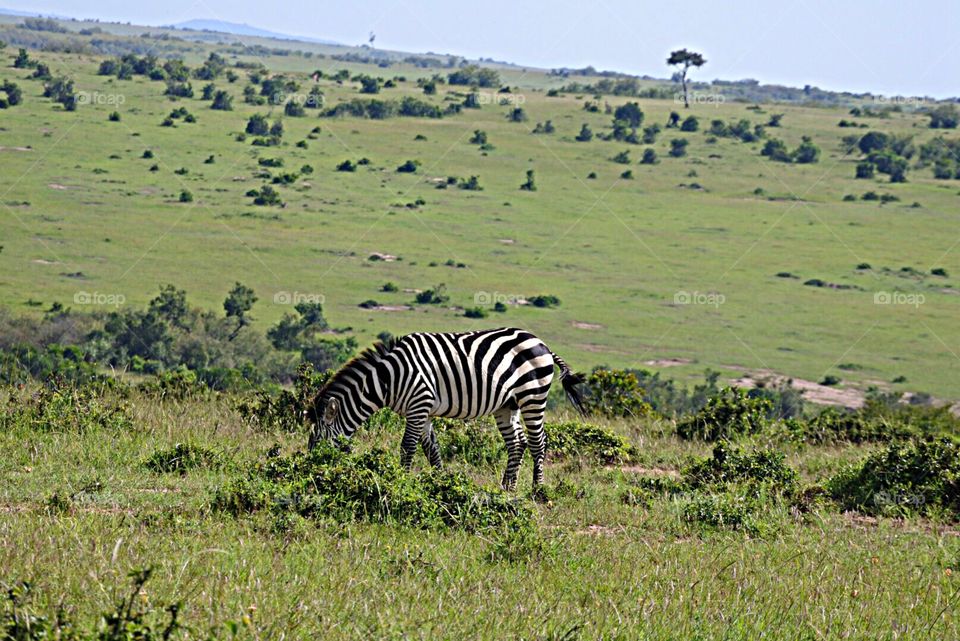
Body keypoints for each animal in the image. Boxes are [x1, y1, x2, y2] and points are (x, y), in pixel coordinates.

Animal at [306, 327, 585, 490]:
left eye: (317, 441)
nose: (312, 472)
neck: (388, 378)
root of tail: (541, 343)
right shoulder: (424, 411)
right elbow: (432, 450)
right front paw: (440, 482)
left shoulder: (419, 403)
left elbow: (408, 446)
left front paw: (401, 481)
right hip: (508, 405)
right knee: (517, 443)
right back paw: (507, 487)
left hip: (532, 395)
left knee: (538, 442)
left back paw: (537, 491)